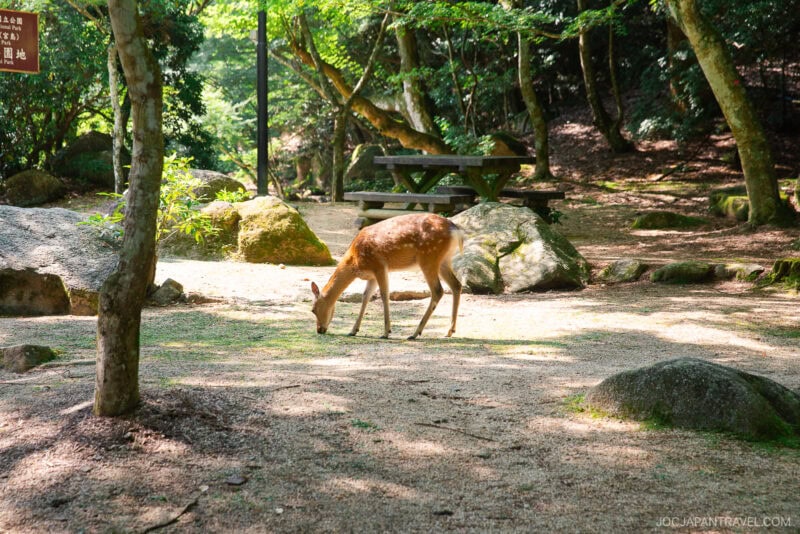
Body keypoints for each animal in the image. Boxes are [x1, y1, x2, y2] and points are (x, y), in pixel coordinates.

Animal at [311, 213, 464, 340]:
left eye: (313, 310)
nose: (319, 330)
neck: (354, 260)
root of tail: (456, 231)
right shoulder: (371, 275)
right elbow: (365, 297)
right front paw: (353, 330)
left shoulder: (379, 266)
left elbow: (384, 295)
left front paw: (386, 332)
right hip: (444, 260)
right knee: (456, 285)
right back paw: (450, 331)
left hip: (428, 258)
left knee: (438, 290)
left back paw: (414, 333)